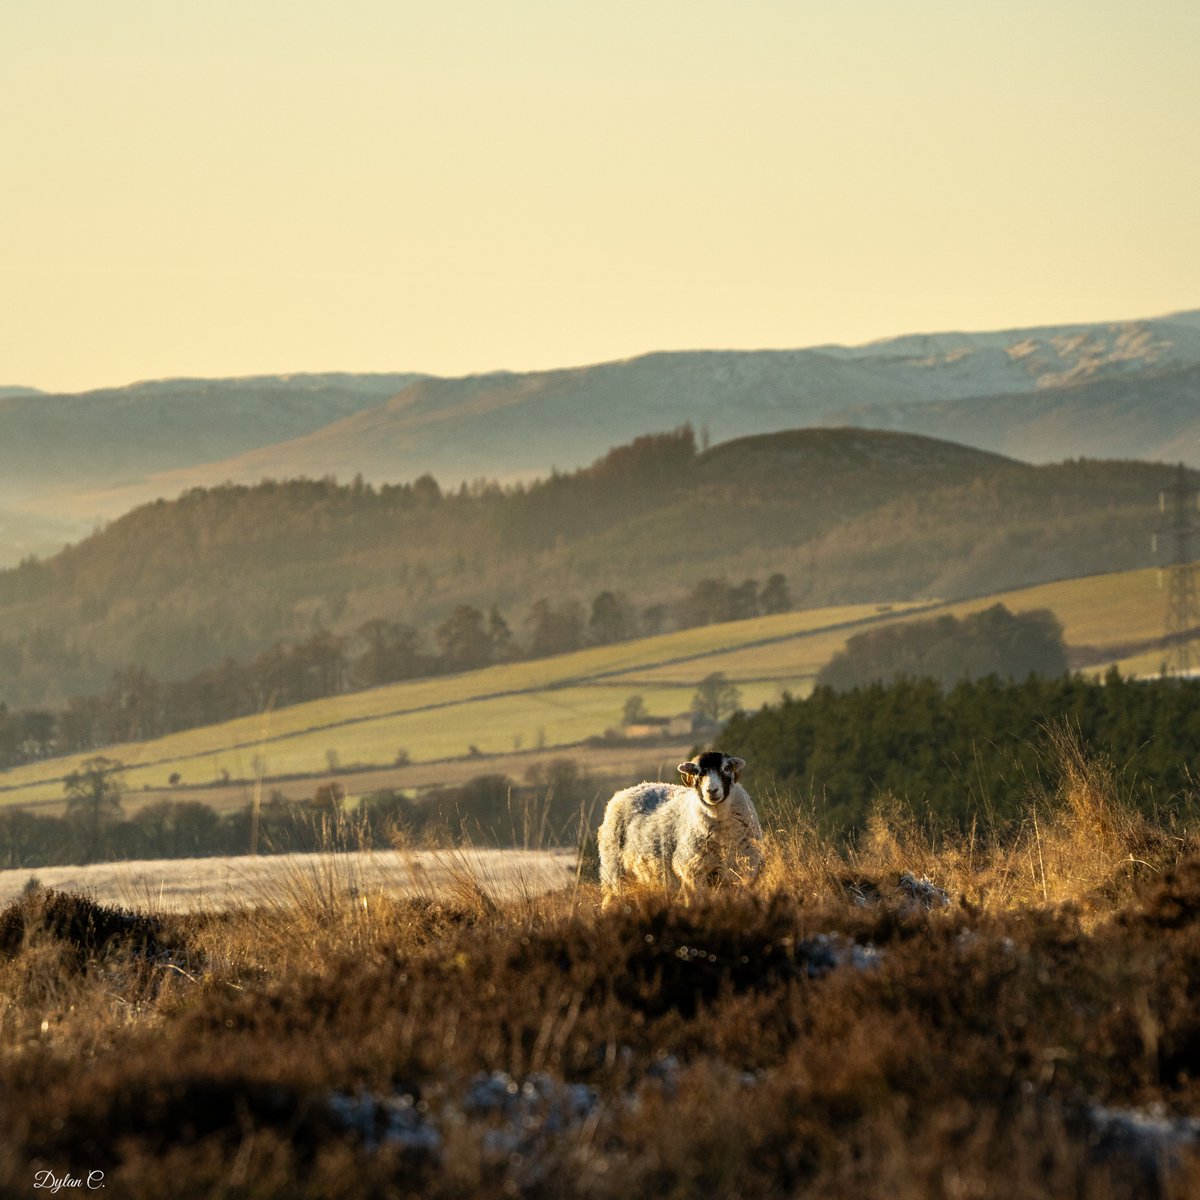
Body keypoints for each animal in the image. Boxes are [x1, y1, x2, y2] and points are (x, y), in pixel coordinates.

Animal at [598, 750, 763, 901]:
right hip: (614, 872)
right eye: (697, 773)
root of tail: (624, 792)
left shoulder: (745, 870)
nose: (712, 791)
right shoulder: (692, 871)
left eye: (726, 768)